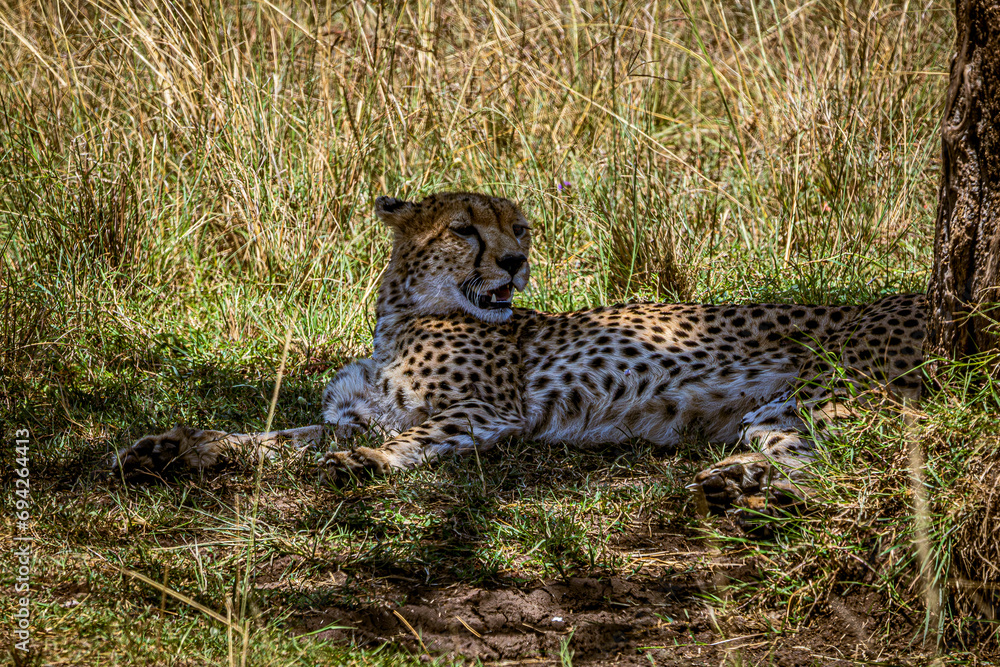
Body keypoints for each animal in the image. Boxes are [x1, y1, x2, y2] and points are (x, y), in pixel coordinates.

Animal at [114, 191, 926, 516]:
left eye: (521, 229)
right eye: (464, 229)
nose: (514, 263)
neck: (402, 317)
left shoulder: (488, 410)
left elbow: (411, 436)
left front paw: (364, 464)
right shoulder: (348, 414)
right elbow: (271, 436)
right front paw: (171, 447)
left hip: (830, 394)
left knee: (868, 463)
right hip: (779, 412)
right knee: (813, 460)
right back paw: (739, 482)